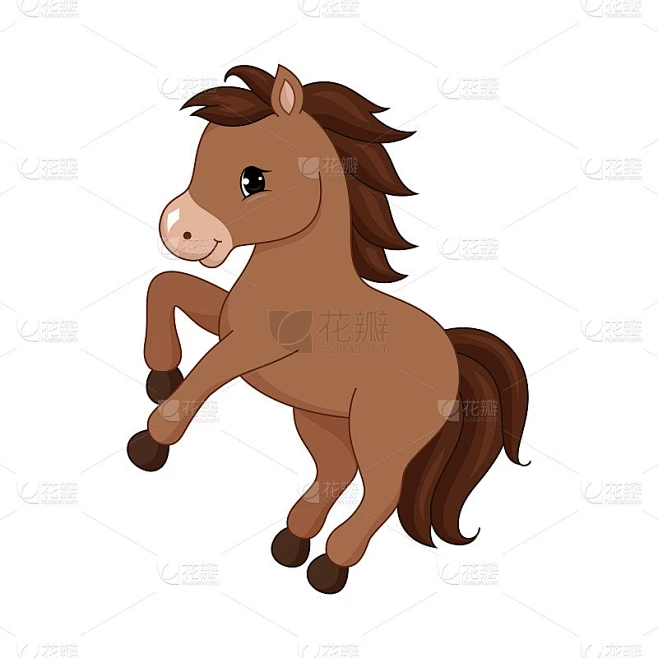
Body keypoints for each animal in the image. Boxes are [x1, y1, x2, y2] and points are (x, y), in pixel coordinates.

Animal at [127, 64, 529, 594]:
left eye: (253, 178)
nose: (176, 230)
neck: (302, 280)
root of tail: (450, 354)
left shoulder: (256, 346)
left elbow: (206, 374)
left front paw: (151, 442)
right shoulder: (226, 321)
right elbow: (165, 287)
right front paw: (160, 376)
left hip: (381, 434)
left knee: (381, 494)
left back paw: (331, 566)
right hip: (323, 421)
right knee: (337, 473)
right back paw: (292, 542)